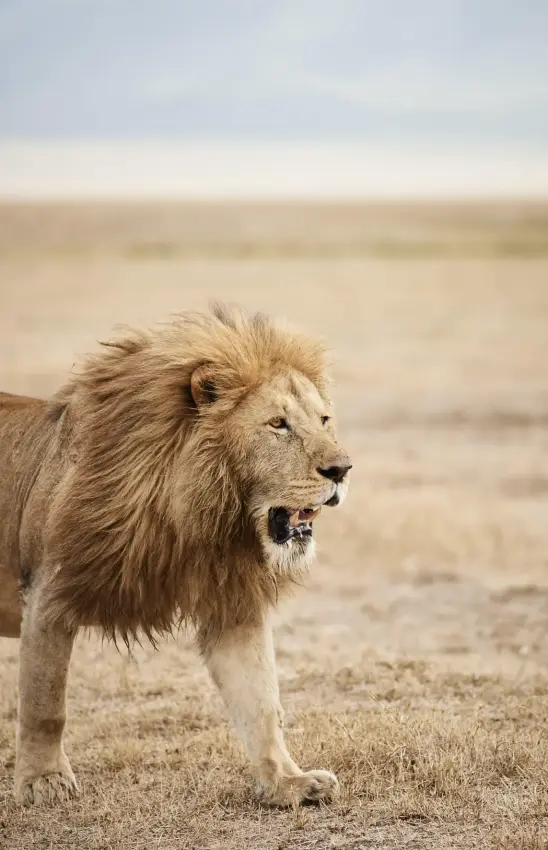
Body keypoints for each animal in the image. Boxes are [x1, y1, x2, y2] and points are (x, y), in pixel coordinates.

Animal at [0, 304, 351, 808]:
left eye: (323, 419)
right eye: (277, 424)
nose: (342, 469)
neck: (192, 515)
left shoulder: (232, 604)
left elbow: (261, 702)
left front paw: (288, 782)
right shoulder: (48, 593)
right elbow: (44, 703)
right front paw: (43, 781)